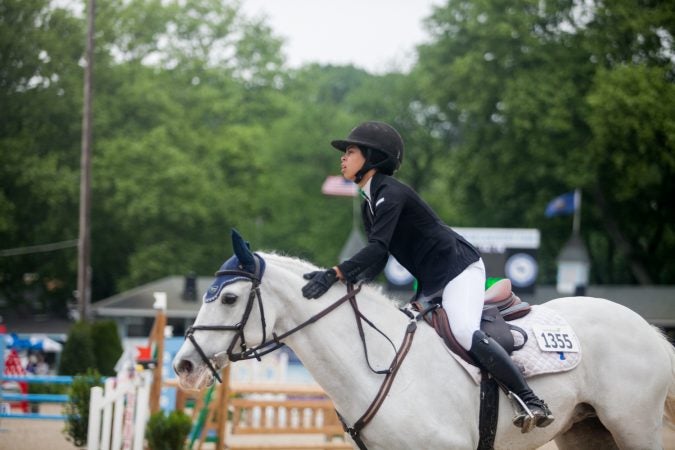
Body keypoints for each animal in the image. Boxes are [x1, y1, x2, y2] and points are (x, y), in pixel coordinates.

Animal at [173, 232, 675, 450]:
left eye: (230, 298)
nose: (183, 367)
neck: (373, 365)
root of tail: (645, 329)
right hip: (586, 432)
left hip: (633, 427)